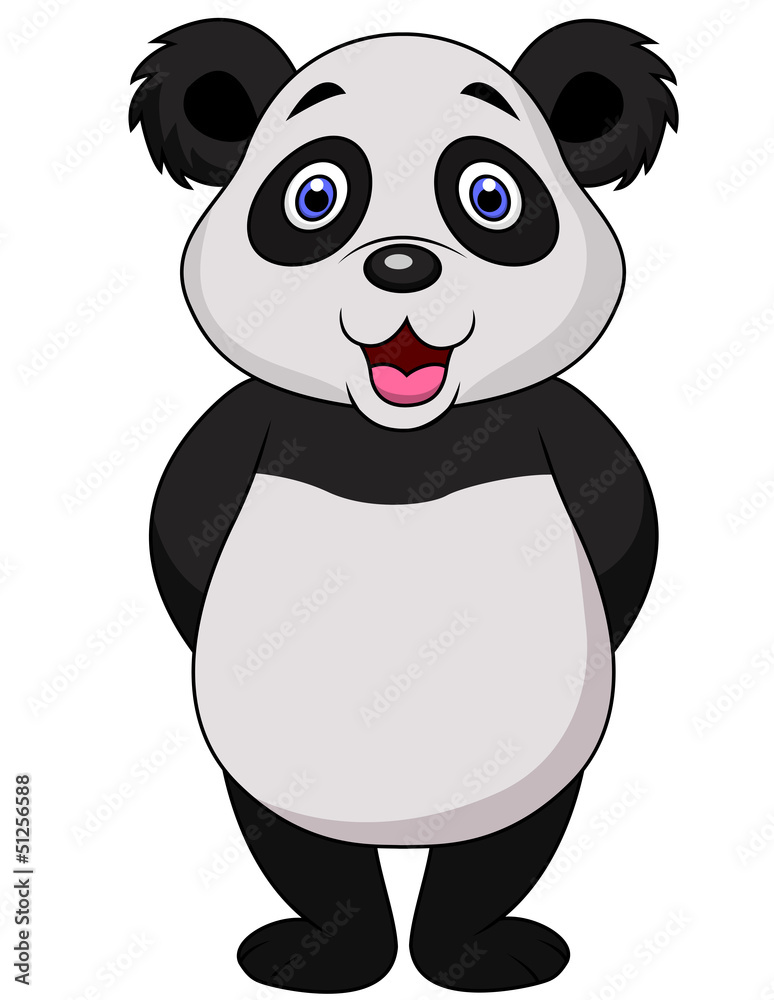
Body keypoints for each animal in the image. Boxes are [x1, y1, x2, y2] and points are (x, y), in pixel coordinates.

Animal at [130, 16, 676, 993]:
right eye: (316, 195)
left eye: (489, 195)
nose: (401, 264)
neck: (401, 433)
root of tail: (401, 832)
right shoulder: (257, 421)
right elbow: (182, 529)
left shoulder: (551, 421)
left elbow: (624, 531)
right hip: (271, 772)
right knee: (305, 853)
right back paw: (327, 954)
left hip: (534, 769)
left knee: (500, 852)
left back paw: (476, 954)